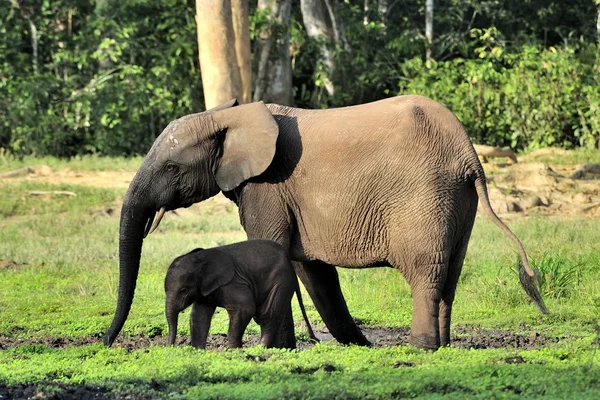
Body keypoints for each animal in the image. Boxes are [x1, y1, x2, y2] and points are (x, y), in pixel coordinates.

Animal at [164, 239, 318, 348]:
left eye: (183, 291)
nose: (169, 347)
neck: (199, 259)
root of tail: (290, 262)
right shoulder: (204, 290)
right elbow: (199, 317)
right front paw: (197, 351)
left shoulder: (233, 283)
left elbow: (245, 309)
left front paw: (232, 350)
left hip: (282, 281)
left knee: (267, 315)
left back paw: (259, 349)